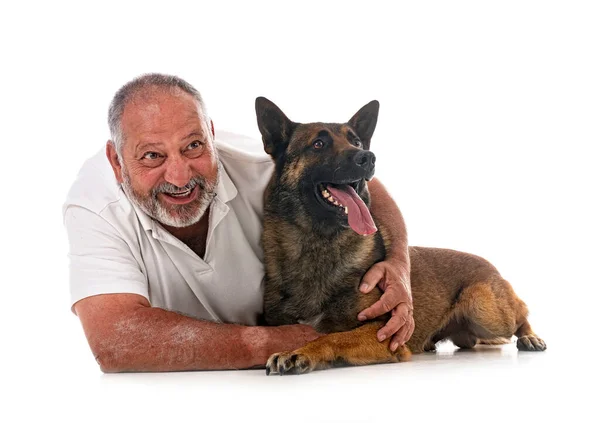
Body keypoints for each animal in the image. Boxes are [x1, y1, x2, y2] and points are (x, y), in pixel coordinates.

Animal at [255, 97, 548, 376]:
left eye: (356, 141)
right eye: (318, 144)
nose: (368, 157)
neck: (317, 241)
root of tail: (490, 265)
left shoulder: (384, 330)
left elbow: (333, 338)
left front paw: (299, 353)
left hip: (485, 309)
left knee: (521, 313)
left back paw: (531, 337)